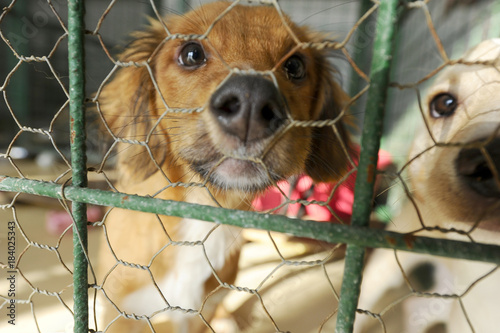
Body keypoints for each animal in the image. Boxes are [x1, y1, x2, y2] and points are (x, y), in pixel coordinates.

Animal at [95, 1, 350, 330]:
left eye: (295, 66)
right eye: (192, 53)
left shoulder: (198, 315)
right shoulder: (123, 313)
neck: (203, 211)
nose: (252, 102)